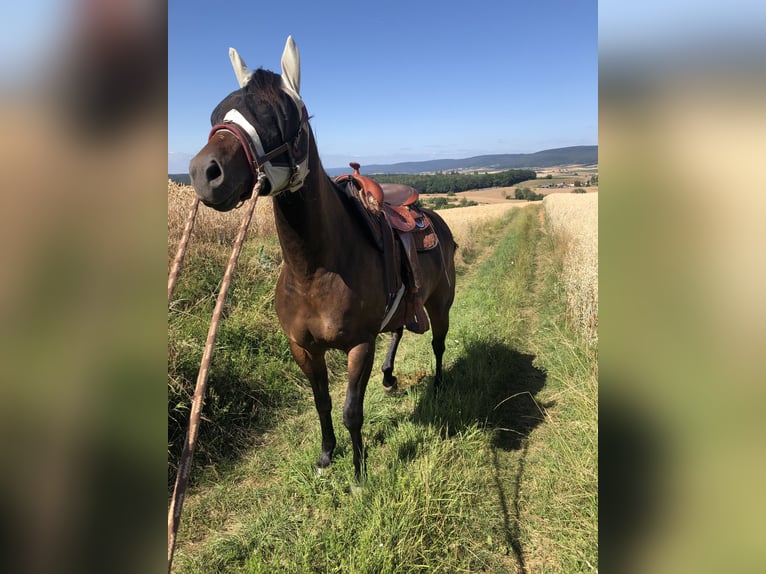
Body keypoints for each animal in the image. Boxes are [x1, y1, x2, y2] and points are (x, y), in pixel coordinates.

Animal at [189, 37, 456, 482]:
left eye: (279, 115)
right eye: (215, 114)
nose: (203, 173)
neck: (312, 271)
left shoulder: (359, 345)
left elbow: (351, 411)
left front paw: (360, 474)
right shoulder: (302, 348)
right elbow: (322, 403)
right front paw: (328, 456)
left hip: (440, 304)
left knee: (437, 344)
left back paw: (436, 386)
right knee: (399, 331)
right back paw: (389, 377)